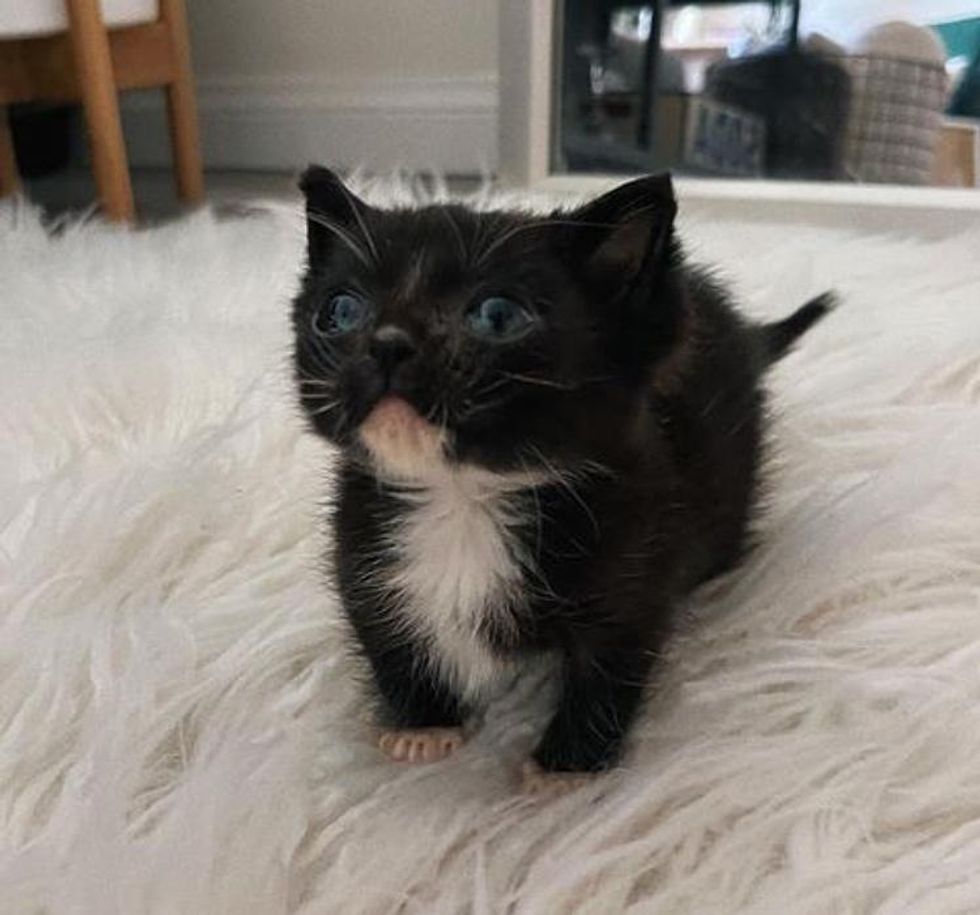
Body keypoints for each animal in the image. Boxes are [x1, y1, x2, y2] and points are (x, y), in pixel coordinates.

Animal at [294, 168, 832, 792]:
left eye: (497, 315)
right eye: (341, 311)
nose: (387, 343)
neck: (464, 493)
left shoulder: (636, 554)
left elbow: (611, 662)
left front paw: (566, 765)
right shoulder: (361, 545)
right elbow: (384, 632)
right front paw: (422, 723)